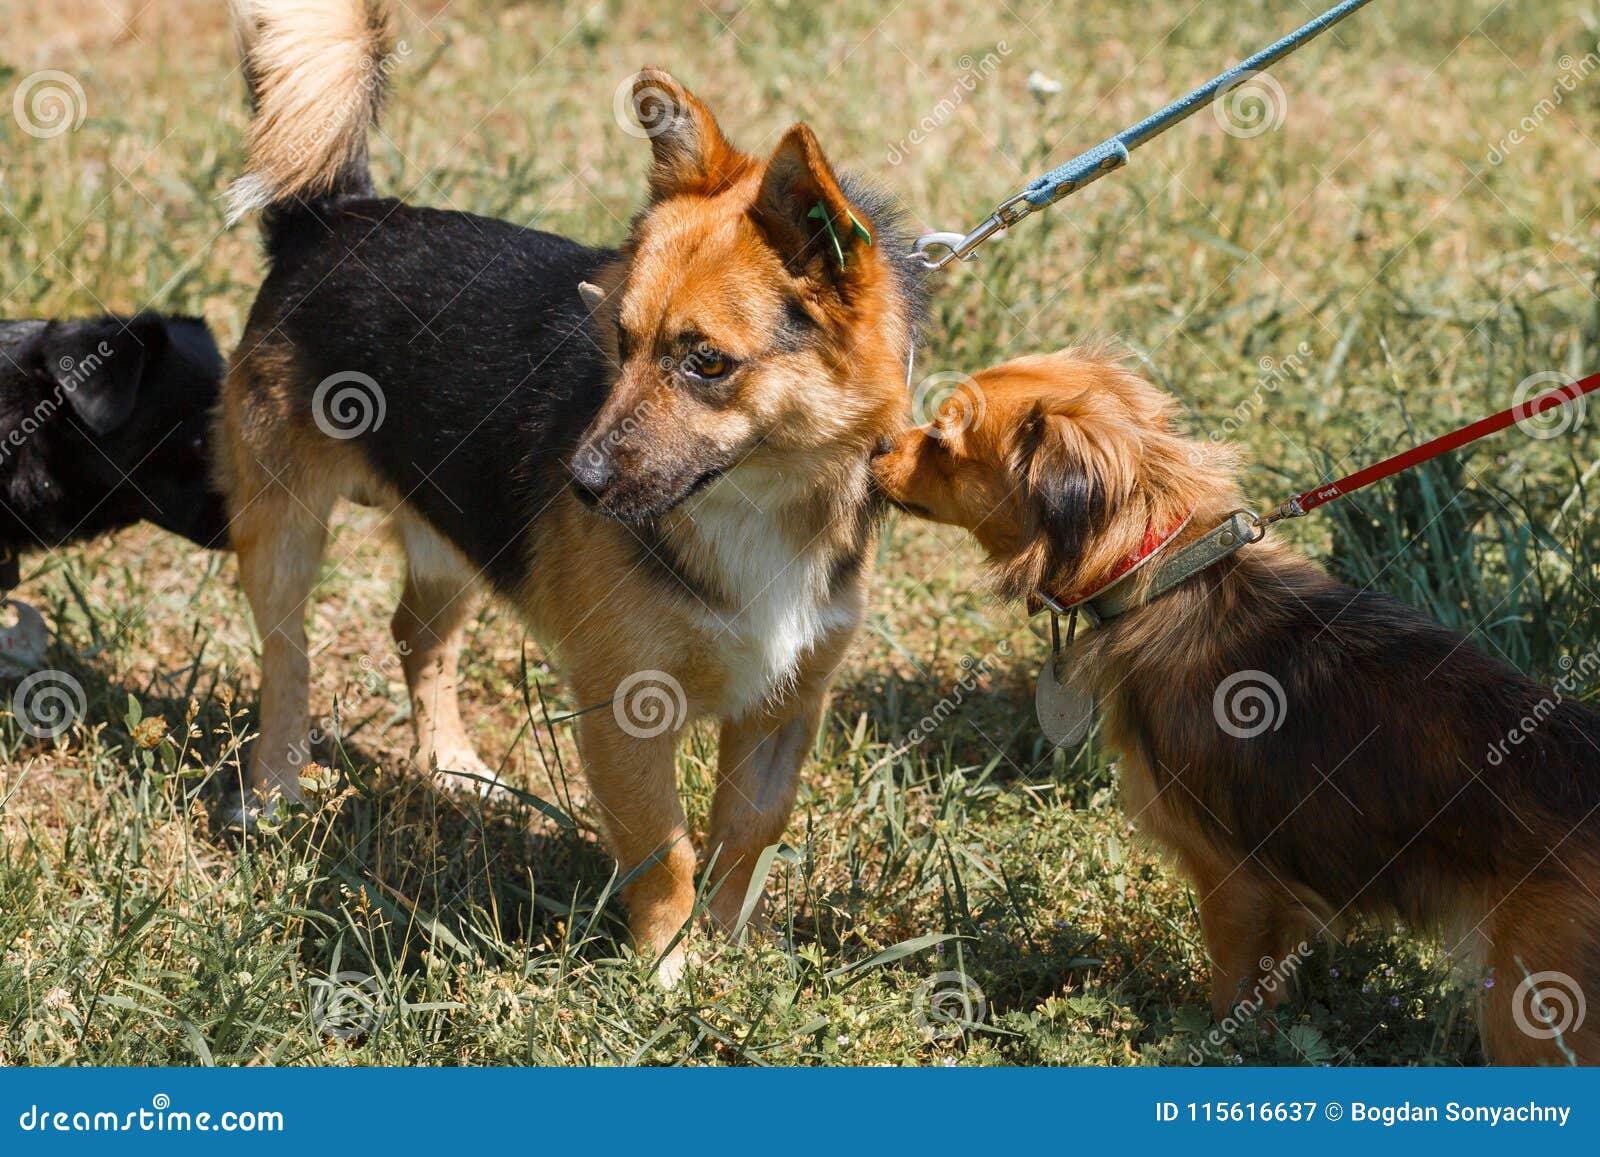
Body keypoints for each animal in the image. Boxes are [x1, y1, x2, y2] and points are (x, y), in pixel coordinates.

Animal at [225, 0, 928, 979]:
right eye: (619, 342)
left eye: (707, 363)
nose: (578, 482)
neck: (755, 503)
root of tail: (337, 215)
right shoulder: (627, 712)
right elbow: (665, 851)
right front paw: (666, 971)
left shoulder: (786, 705)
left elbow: (745, 836)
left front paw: (728, 955)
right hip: (283, 533)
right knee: (286, 660)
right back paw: (273, 787)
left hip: (456, 529)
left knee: (416, 633)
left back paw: (452, 765)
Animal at [876, 348, 1600, 1062]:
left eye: (940, 440)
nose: (877, 442)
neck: (1161, 571)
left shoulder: (1235, 886)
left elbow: (1231, 999)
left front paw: (1218, 1044)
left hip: (1529, 1008)